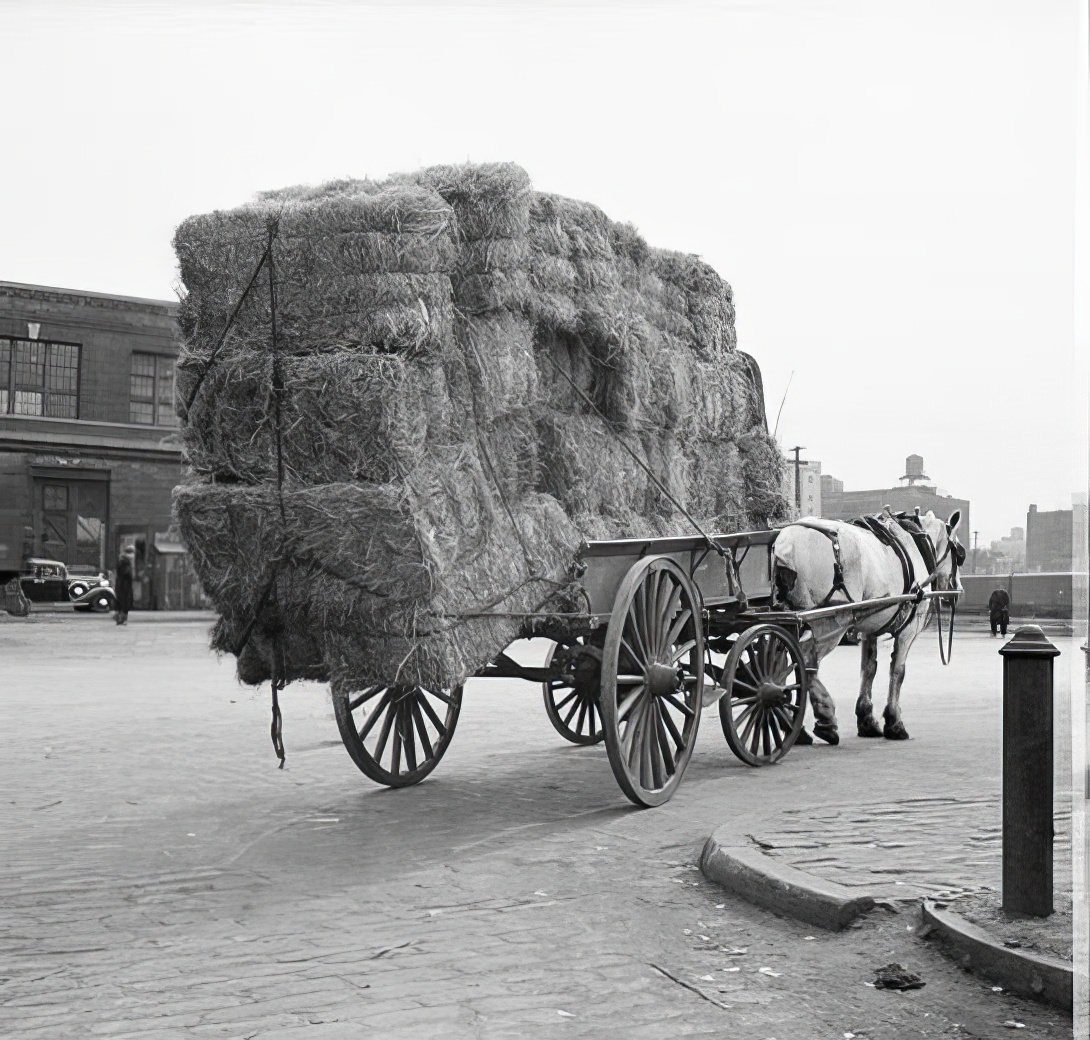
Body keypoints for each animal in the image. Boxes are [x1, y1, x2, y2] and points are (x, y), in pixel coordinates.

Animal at [767, 508, 963, 736]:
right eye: (959, 554)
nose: (956, 589)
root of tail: (786, 545)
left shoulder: (870, 627)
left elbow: (868, 668)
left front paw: (866, 718)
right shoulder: (908, 630)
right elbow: (898, 670)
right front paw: (894, 721)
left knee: (780, 660)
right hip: (830, 622)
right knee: (806, 663)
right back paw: (824, 716)